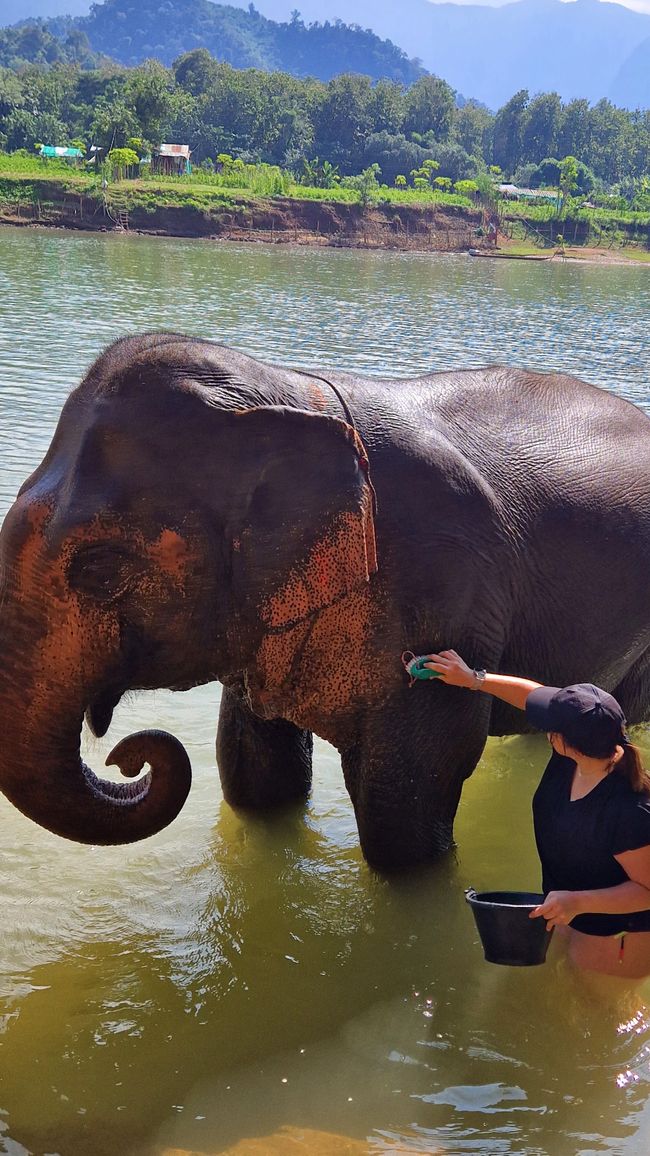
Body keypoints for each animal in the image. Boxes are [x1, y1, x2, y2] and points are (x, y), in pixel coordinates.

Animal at [1, 330, 647, 869]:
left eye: (100, 569)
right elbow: (256, 778)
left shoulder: (447, 590)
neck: (288, 391)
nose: (125, 758)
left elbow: (406, 807)